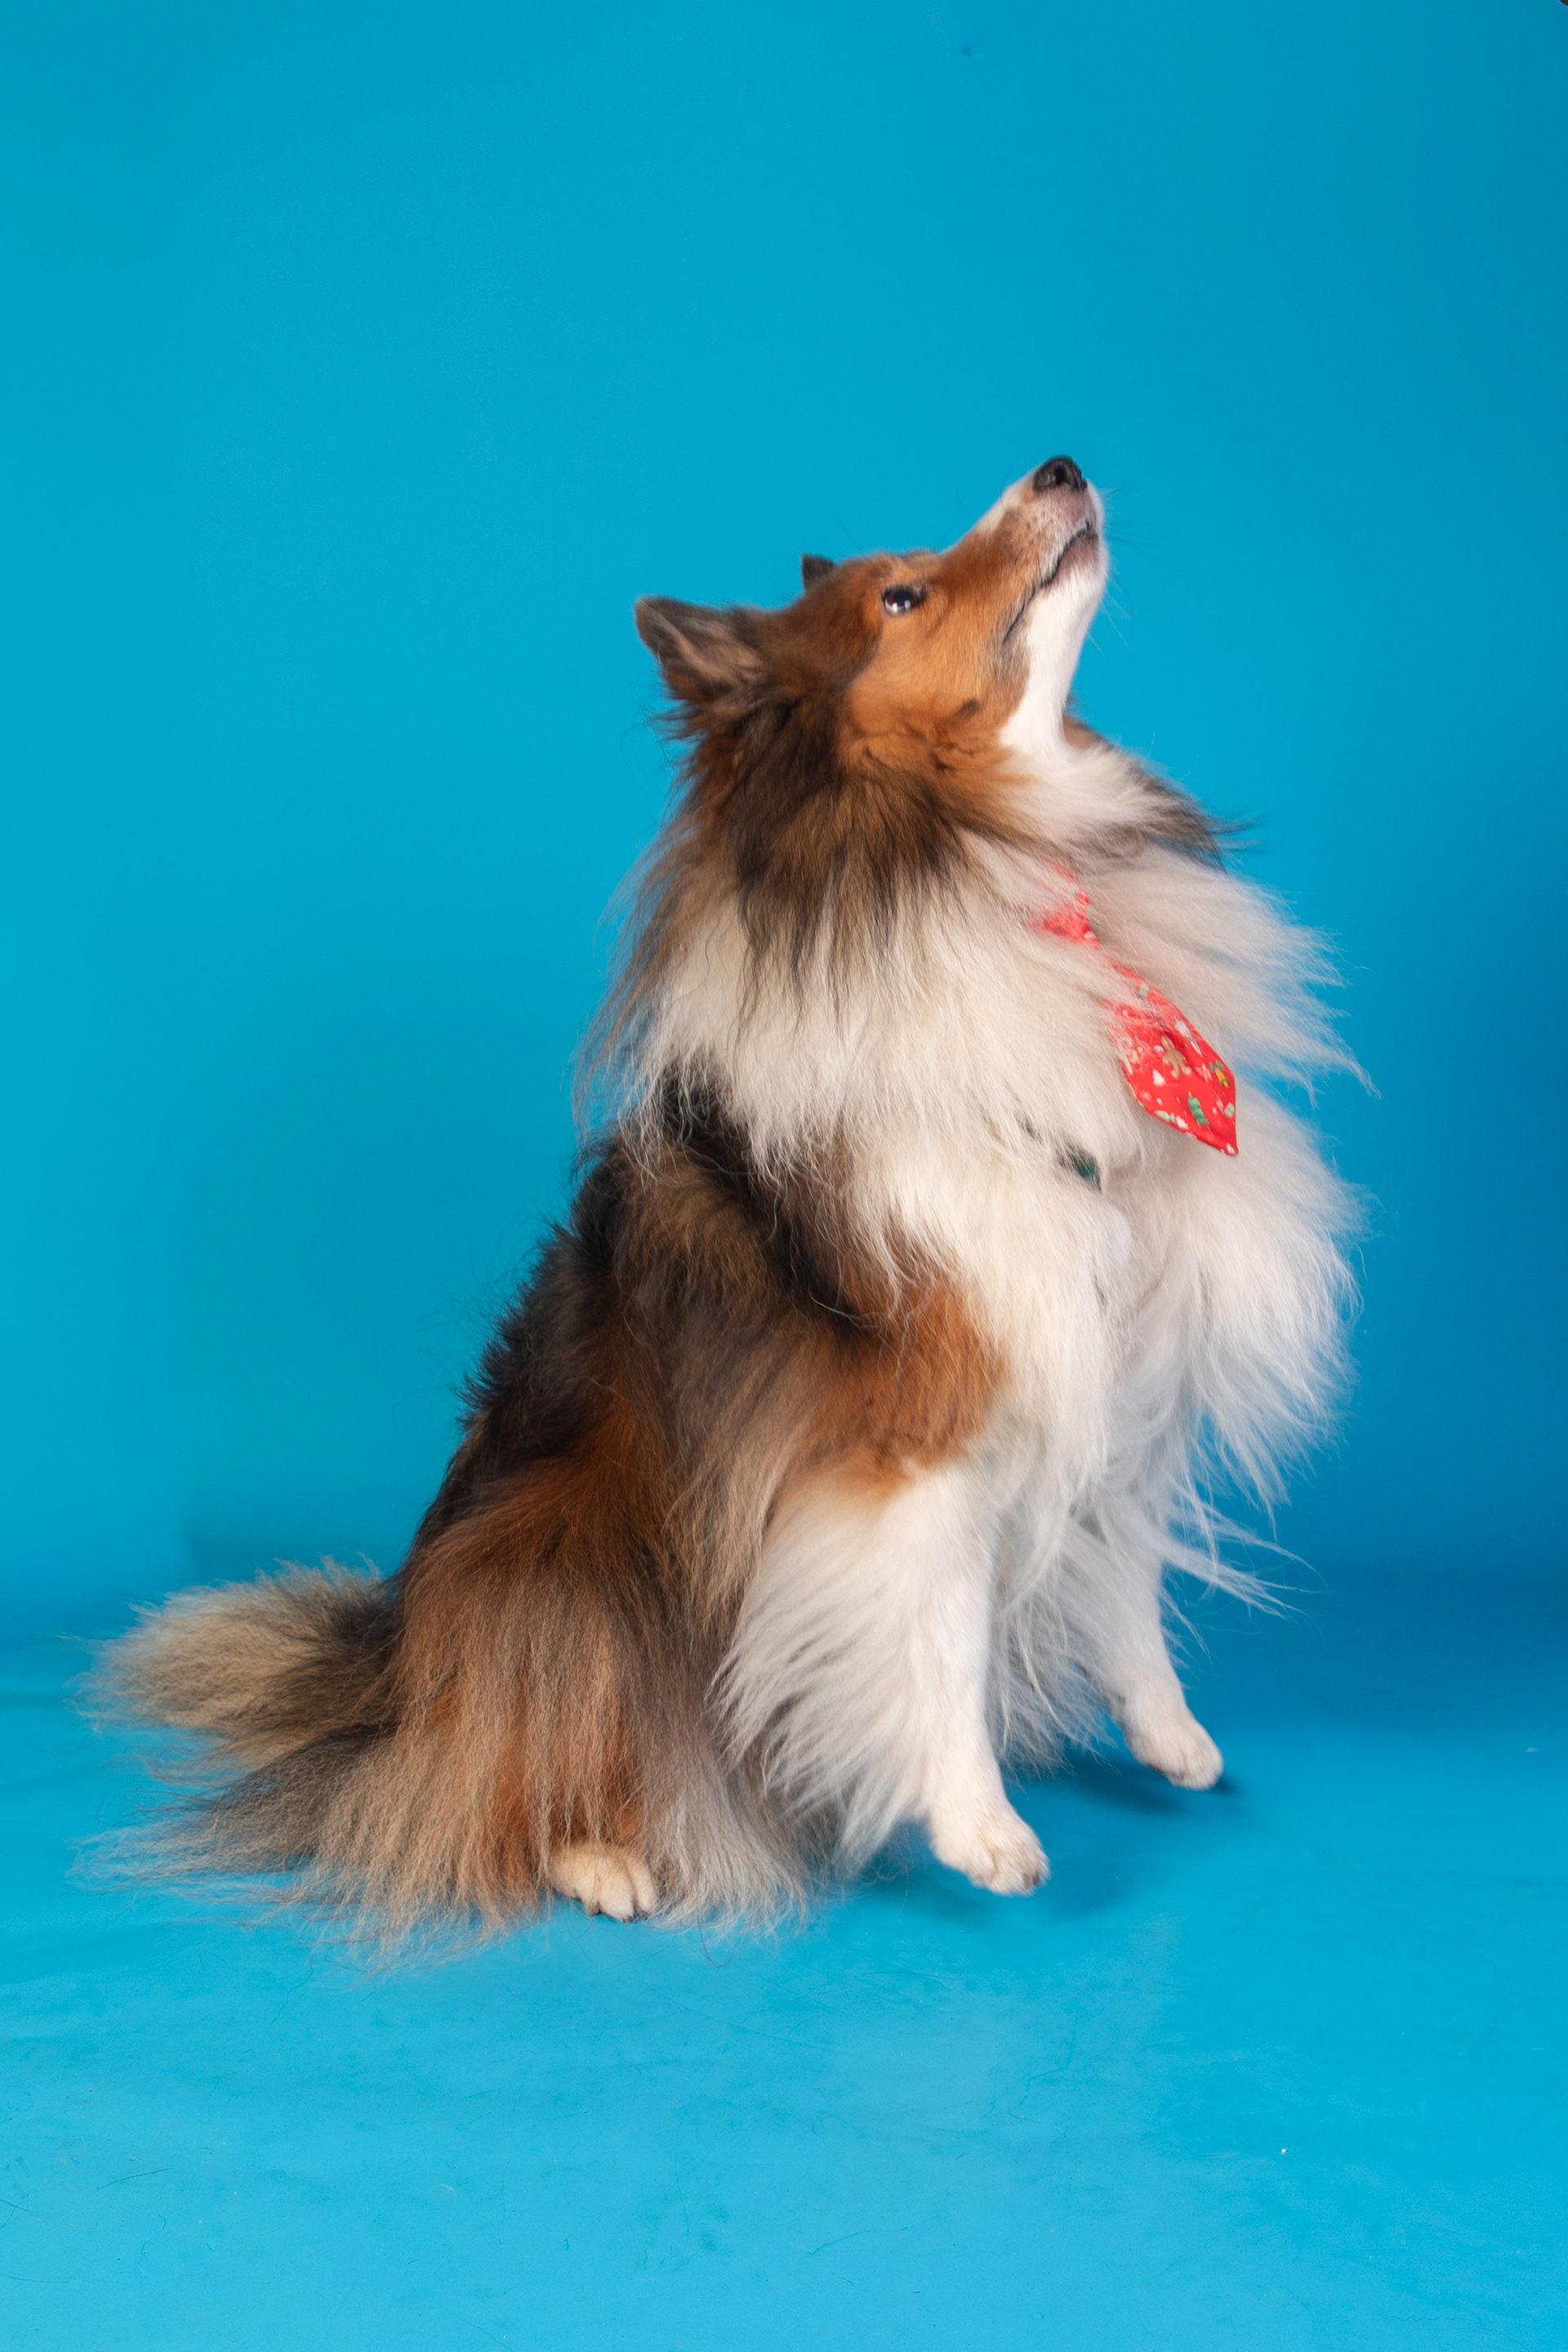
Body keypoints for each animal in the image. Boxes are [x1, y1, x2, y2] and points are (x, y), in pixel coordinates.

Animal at [94, 457, 1355, 1936]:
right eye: (904, 596)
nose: (1059, 467)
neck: (977, 857)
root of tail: (396, 1672)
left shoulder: (1114, 1353)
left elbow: (1125, 1571)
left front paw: (1166, 1732)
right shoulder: (911, 1435)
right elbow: (936, 1634)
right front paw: (980, 1825)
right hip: (559, 1564)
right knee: (500, 1766)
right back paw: (603, 1857)